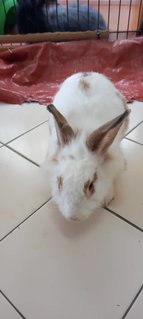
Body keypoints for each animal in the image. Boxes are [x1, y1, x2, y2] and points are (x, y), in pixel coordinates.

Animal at [45, 72, 131, 222]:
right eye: (60, 182)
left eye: (91, 185)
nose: (72, 217)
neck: (83, 132)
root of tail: (86, 73)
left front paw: (107, 198)